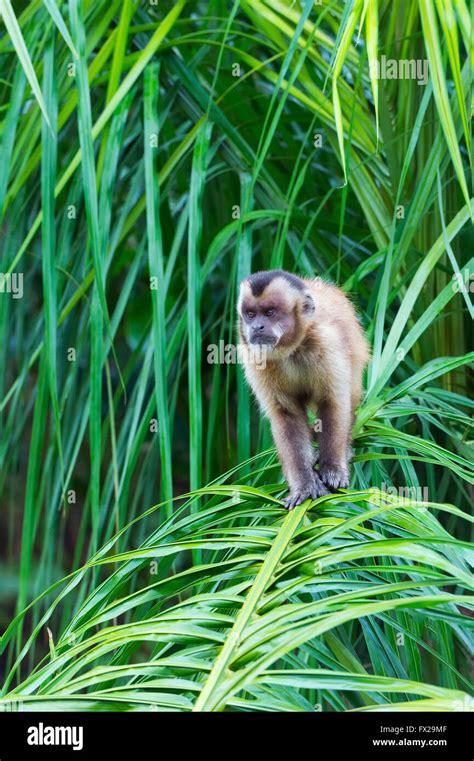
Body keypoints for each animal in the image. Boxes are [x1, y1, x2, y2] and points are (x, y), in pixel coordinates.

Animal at [239, 270, 368, 508]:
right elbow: (286, 415)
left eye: (270, 313)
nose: (256, 327)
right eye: (250, 314)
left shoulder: (326, 343)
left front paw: (332, 469)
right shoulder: (253, 357)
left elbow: (332, 403)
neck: (290, 349)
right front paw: (305, 485)